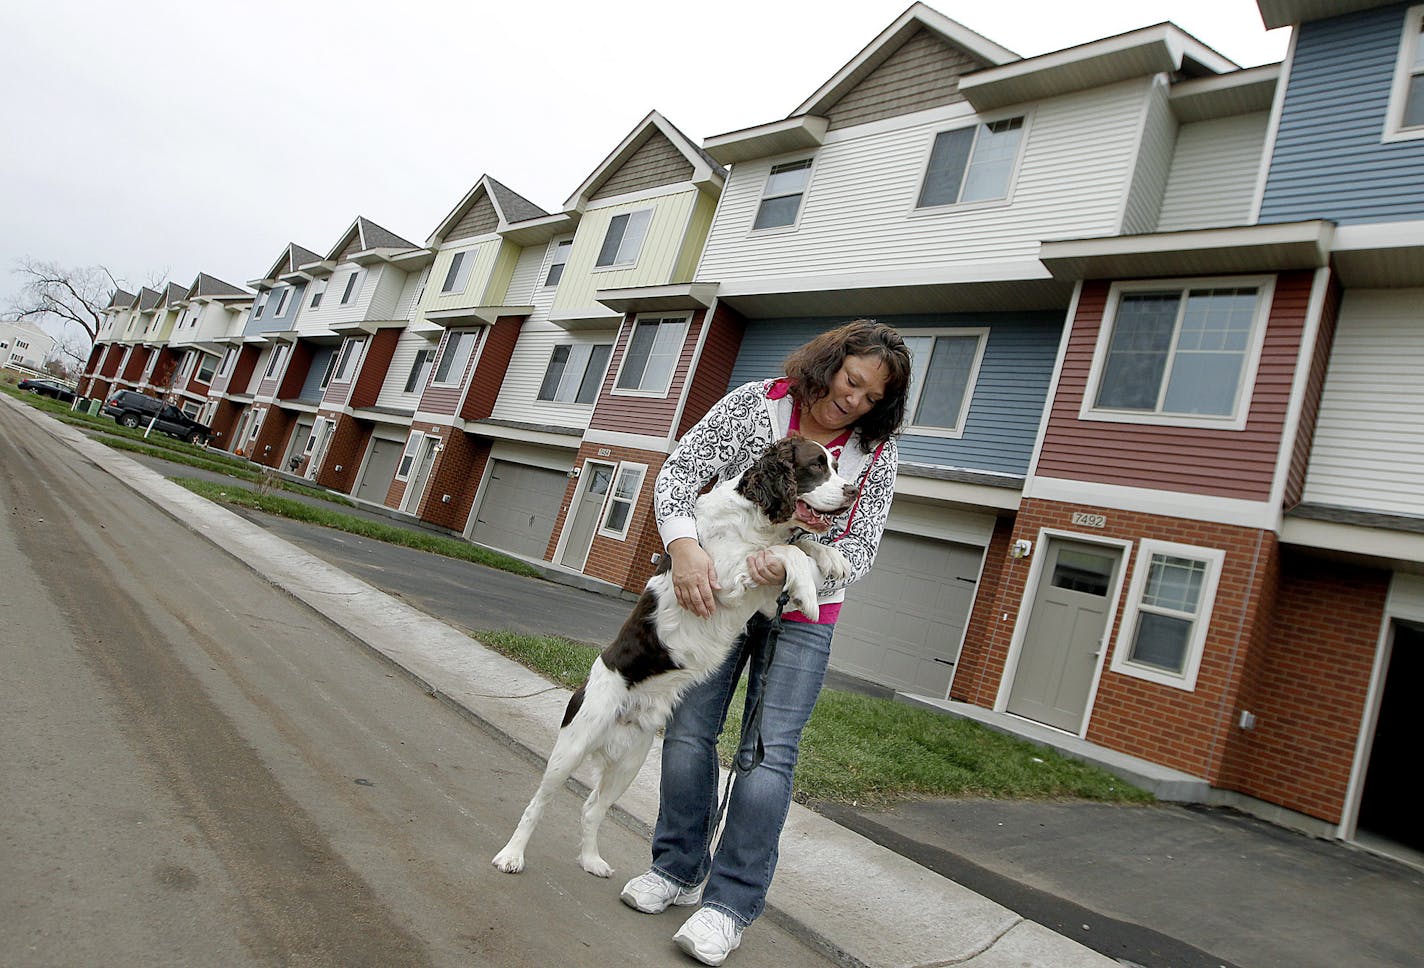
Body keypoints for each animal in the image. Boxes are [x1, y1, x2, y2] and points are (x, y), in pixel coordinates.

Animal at [492, 435, 854, 876]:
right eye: (817, 465)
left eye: (836, 464)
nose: (853, 491)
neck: (754, 520)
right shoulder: (719, 577)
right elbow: (786, 554)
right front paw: (810, 592)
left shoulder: (765, 601)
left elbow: (797, 545)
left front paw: (831, 558)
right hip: (574, 744)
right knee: (538, 802)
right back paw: (512, 855)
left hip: (631, 758)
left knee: (593, 808)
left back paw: (592, 860)